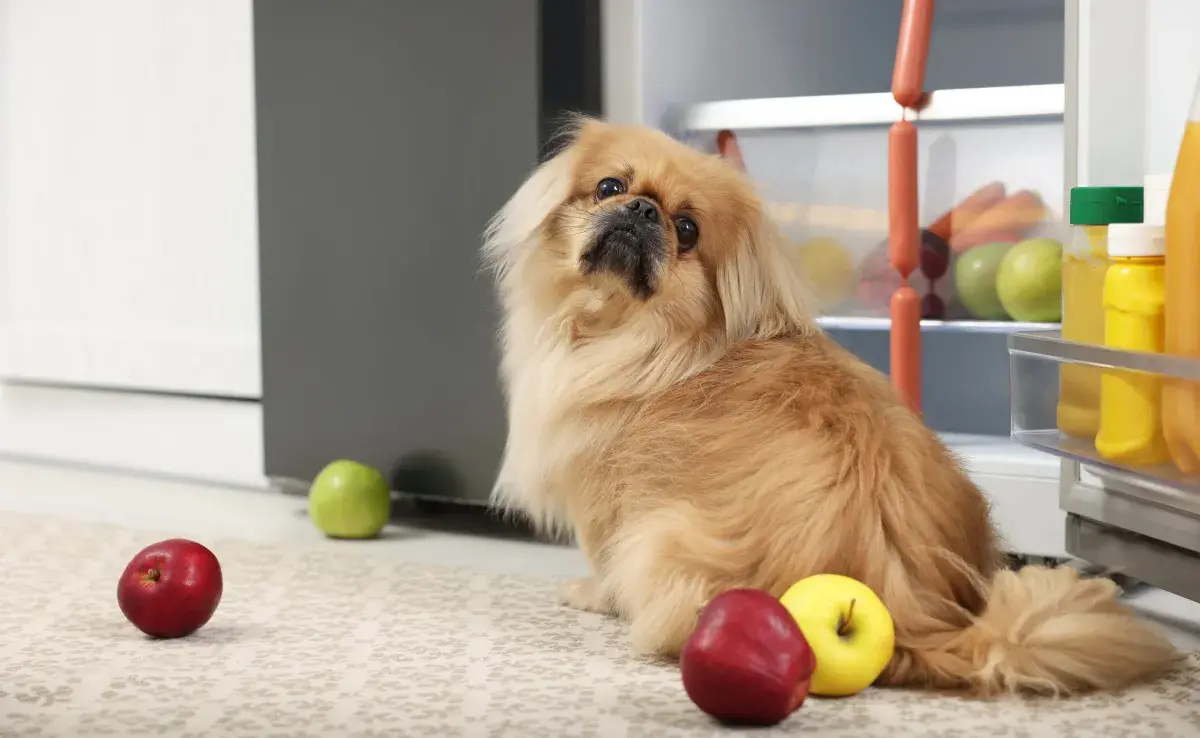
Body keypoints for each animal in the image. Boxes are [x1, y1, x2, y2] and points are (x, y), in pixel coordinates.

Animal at [482, 118, 1176, 696]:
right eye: (609, 185)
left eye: (687, 230)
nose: (641, 209)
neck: (642, 335)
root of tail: (912, 617)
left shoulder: (606, 497)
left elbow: (600, 561)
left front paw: (589, 594)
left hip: (657, 538)